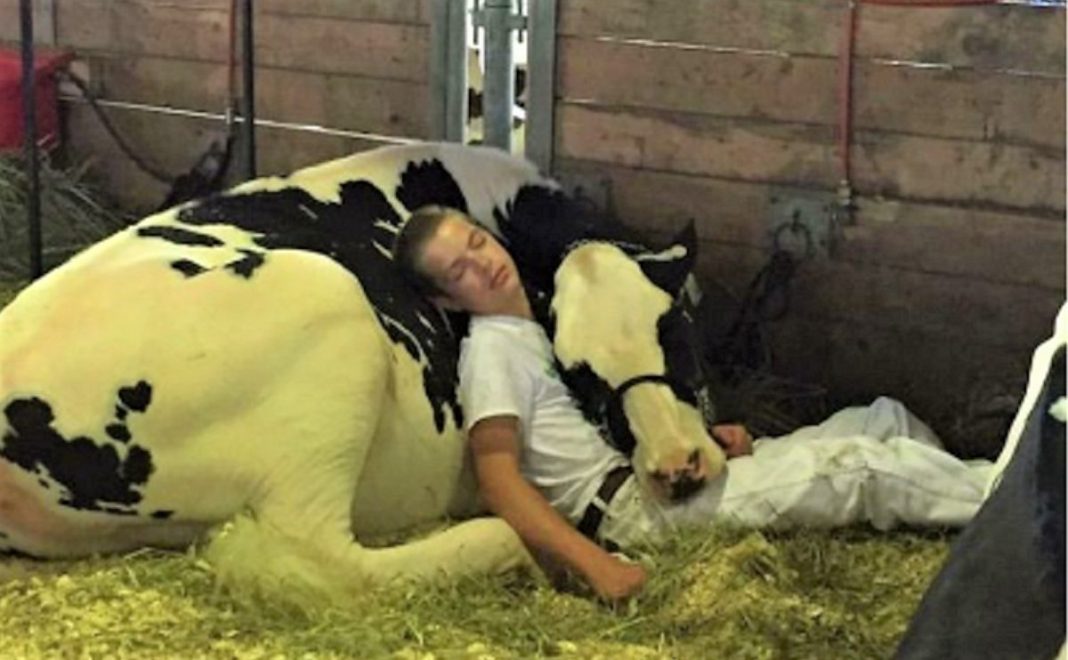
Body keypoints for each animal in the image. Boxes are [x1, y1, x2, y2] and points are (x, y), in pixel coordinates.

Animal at [0, 140, 726, 602]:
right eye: (579, 374)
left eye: (677, 330)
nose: (678, 464)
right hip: (329, 317)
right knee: (318, 558)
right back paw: (508, 550)